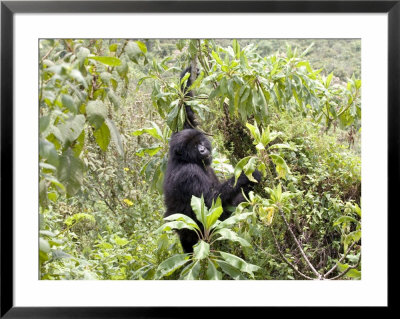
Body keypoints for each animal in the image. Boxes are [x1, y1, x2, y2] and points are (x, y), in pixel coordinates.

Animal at [163, 66, 260, 254]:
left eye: (199, 142)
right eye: (193, 147)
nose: (202, 149)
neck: (185, 160)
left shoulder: (184, 130)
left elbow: (186, 113)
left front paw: (187, 75)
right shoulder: (189, 174)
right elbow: (210, 201)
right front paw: (246, 175)